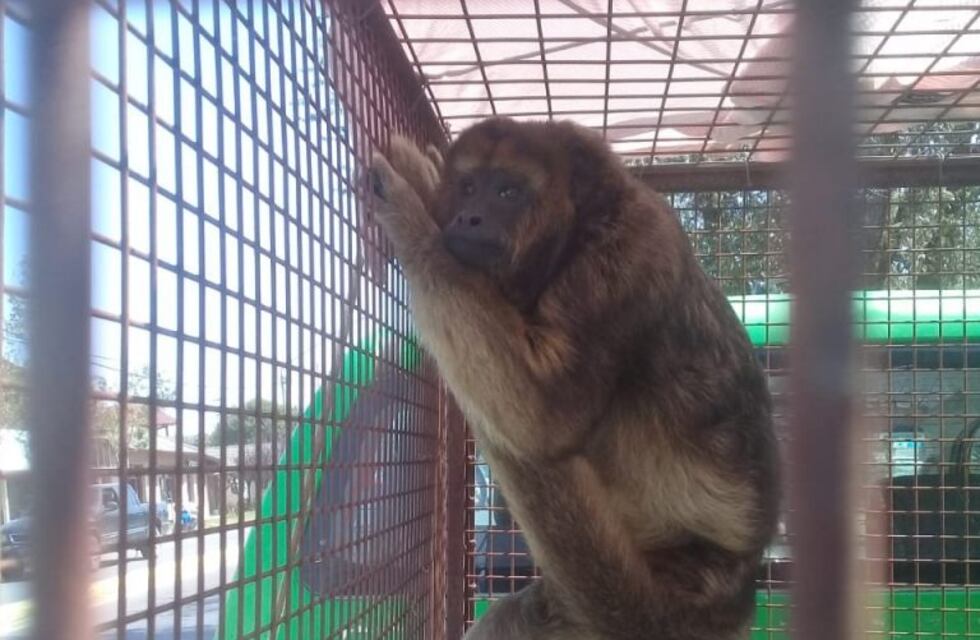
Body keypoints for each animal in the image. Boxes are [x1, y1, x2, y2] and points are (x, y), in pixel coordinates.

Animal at [369, 117, 779, 639]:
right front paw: (425, 188)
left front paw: (411, 211)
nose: (468, 217)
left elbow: (544, 414)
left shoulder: (632, 250)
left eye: (507, 192)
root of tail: (739, 589)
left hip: (673, 593)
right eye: (468, 188)